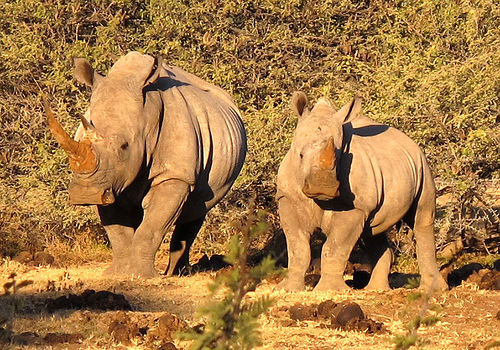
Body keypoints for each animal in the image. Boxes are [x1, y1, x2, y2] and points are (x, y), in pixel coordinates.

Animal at [45, 52, 246, 278]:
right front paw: (118, 274)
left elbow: (152, 225)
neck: (148, 113)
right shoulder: (109, 182)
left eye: (124, 146)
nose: (85, 195)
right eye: (80, 138)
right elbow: (117, 230)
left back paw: (177, 273)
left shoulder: (175, 174)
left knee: (198, 207)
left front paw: (142, 275)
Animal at [278, 91, 450, 292]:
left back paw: (433, 290)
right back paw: (376, 289)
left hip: (422, 164)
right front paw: (287, 288)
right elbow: (298, 248)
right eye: (300, 155)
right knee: (373, 230)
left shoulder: (355, 206)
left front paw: (329, 290)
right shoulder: (288, 198)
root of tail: (409, 141)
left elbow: (334, 247)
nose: (322, 187)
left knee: (421, 218)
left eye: (339, 156)